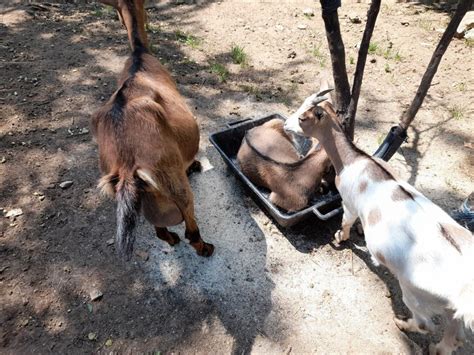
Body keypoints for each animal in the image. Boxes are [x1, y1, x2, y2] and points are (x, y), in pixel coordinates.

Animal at [91, 0, 213, 262]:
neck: (139, 54)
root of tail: (126, 165)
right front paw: (195, 164)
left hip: (139, 191)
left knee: (159, 228)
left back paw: (171, 238)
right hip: (173, 181)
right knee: (190, 226)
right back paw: (205, 248)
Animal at [284, 92, 472, 355]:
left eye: (303, 117)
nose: (285, 124)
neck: (353, 159)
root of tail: (466, 285)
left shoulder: (349, 202)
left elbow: (345, 221)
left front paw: (340, 238)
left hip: (415, 291)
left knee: (425, 323)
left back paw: (403, 324)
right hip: (448, 306)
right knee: (456, 334)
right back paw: (439, 348)